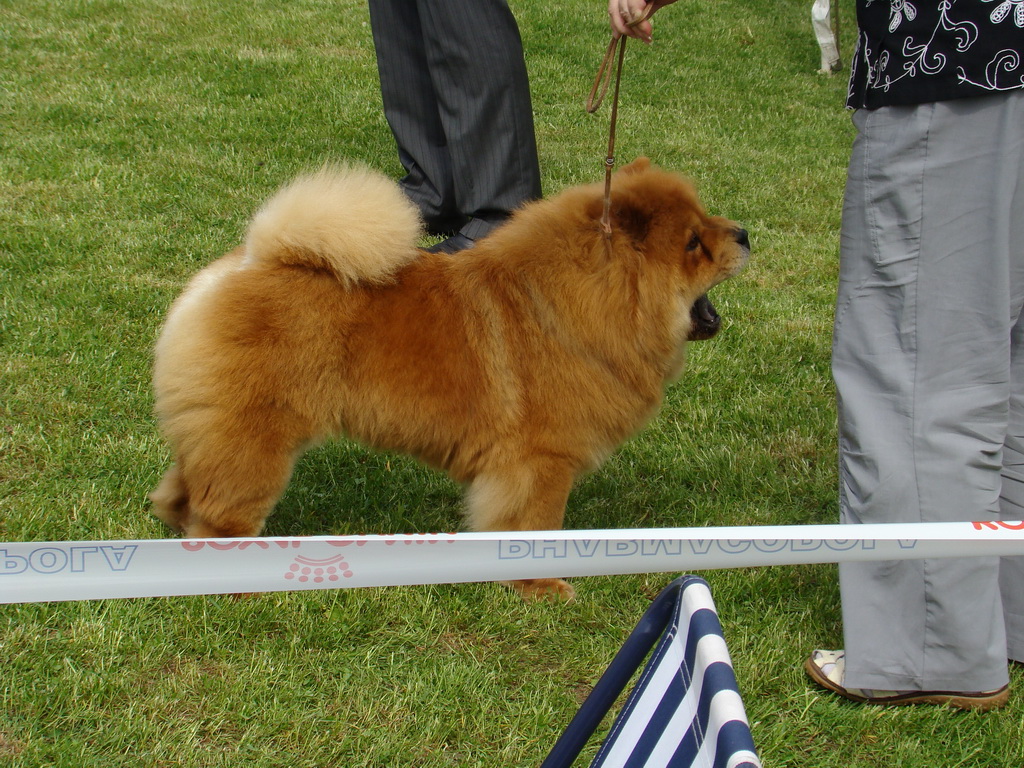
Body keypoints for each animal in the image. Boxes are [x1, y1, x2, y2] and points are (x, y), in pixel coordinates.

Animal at [149, 157, 745, 602]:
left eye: (706, 222)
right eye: (693, 243)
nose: (743, 232)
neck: (570, 308)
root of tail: (249, 262)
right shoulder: (542, 460)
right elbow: (536, 525)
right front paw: (542, 586)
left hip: (221, 426)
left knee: (187, 485)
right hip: (257, 437)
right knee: (223, 513)